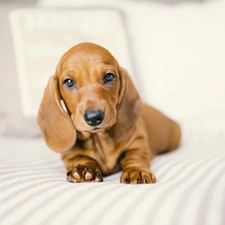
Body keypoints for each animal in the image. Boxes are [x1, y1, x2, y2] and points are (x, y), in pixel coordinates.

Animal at [37, 42, 181, 185]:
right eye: (69, 82)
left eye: (109, 76)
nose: (94, 117)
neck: (99, 139)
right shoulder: (69, 155)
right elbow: (80, 157)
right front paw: (84, 168)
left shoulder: (138, 142)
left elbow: (135, 156)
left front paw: (136, 170)